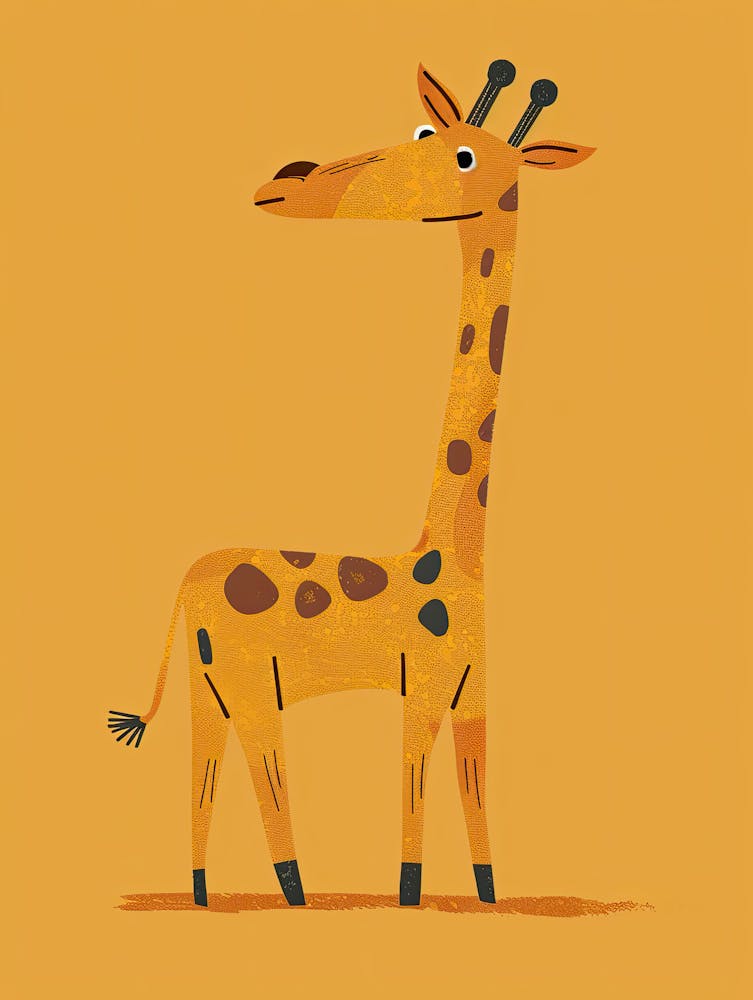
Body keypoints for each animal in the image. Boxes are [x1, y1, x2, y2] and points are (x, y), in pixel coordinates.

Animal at [109, 59, 595, 909]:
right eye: (422, 130)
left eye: (462, 155)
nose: (287, 178)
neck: (455, 553)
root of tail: (184, 583)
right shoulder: (422, 688)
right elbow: (414, 796)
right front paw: (405, 896)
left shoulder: (471, 697)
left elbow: (474, 799)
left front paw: (486, 895)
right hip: (250, 682)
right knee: (262, 773)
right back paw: (294, 894)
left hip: (211, 688)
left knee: (203, 770)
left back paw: (205, 892)